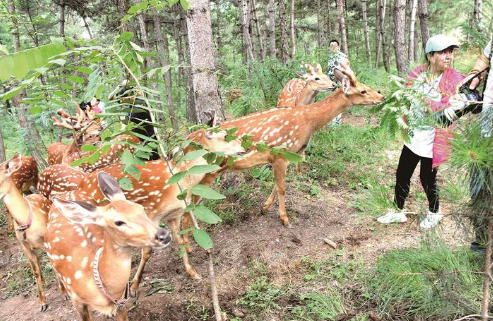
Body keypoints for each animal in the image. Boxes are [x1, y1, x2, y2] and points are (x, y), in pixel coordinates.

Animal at [0, 154, 52, 310]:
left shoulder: (44, 239)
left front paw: (64, 292)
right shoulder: (24, 245)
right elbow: (35, 270)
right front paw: (42, 302)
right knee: (37, 261)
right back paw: (44, 281)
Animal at [44, 172, 171, 320]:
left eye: (141, 208)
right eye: (119, 222)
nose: (164, 235)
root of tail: (67, 193)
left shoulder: (121, 302)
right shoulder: (77, 301)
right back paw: (63, 293)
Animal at [71, 128, 244, 290]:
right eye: (224, 136)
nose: (243, 148)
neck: (182, 180)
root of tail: (77, 187)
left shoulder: (173, 215)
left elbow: (180, 241)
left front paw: (193, 272)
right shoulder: (152, 213)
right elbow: (147, 251)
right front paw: (134, 285)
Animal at [188, 66, 384, 226]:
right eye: (363, 90)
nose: (382, 96)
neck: (308, 121)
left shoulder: (288, 156)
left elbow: (277, 185)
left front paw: (264, 207)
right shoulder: (281, 154)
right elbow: (282, 187)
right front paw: (284, 219)